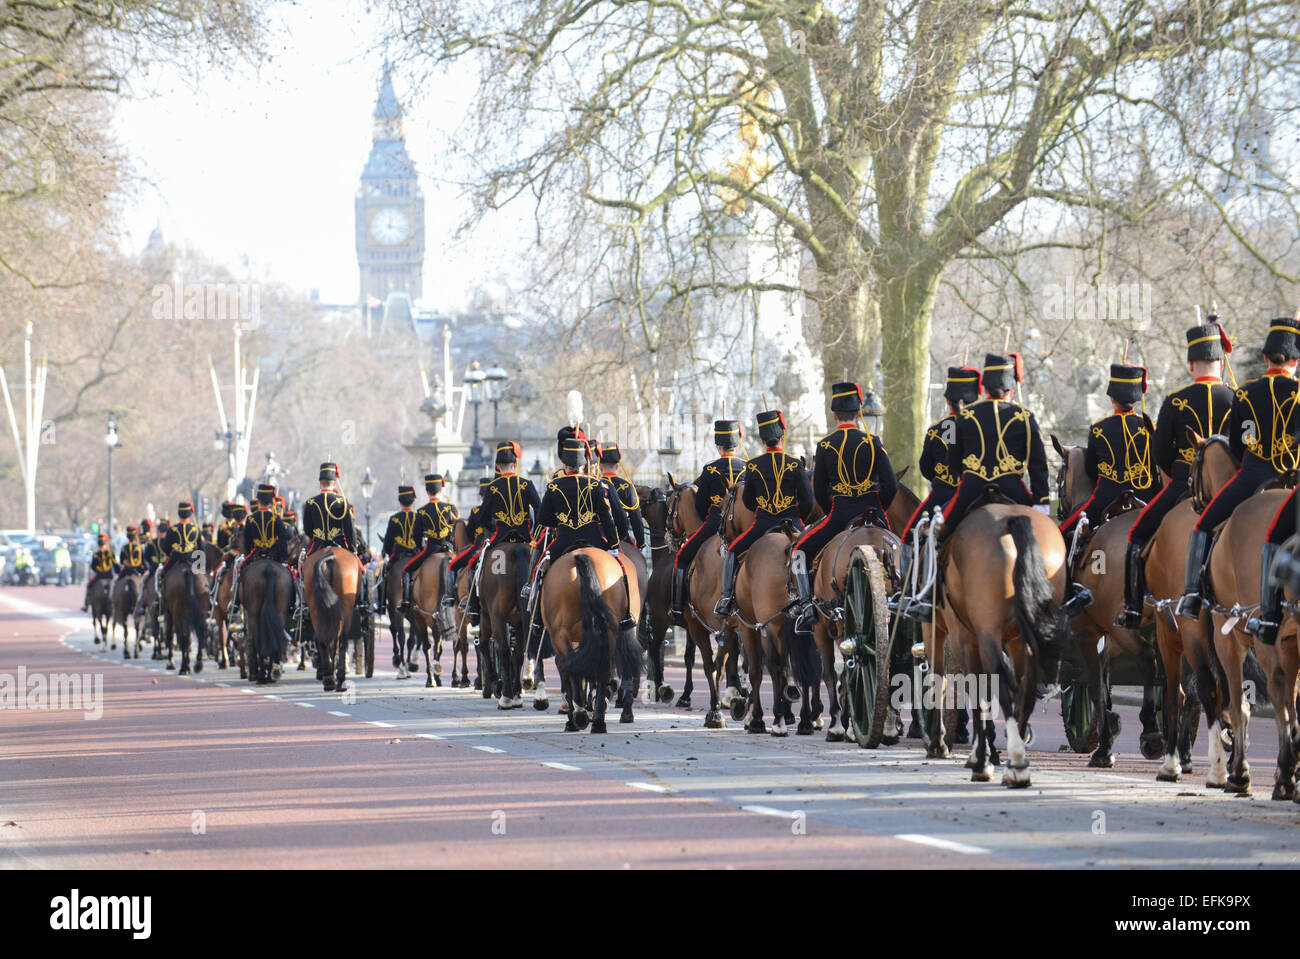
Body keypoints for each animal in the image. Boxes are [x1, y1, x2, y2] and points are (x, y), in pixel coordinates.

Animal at [301, 545, 364, 686]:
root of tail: (330, 556)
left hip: (316, 609)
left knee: (322, 637)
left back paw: (329, 677)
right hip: (345, 608)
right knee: (342, 637)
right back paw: (338, 678)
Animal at [540, 545, 642, 732]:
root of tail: (582, 555)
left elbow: (570, 673)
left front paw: (576, 713)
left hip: (559, 634)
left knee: (571, 669)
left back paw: (580, 715)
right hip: (611, 631)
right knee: (605, 668)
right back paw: (600, 720)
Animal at [925, 501, 1066, 784]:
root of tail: (1013, 520)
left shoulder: (956, 635)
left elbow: (959, 684)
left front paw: (973, 755)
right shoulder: (1007, 640)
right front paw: (987, 751)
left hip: (983, 632)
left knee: (996, 679)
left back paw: (1007, 763)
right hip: (1022, 638)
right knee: (1025, 686)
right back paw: (1016, 758)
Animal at [1050, 436, 1164, 764]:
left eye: (1058, 478)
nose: (1060, 512)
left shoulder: (1088, 634)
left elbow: (1095, 684)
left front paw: (1103, 744)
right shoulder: (1106, 637)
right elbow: (1104, 679)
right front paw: (1111, 726)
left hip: (1122, 627)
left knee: (1147, 658)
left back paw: (1150, 732)